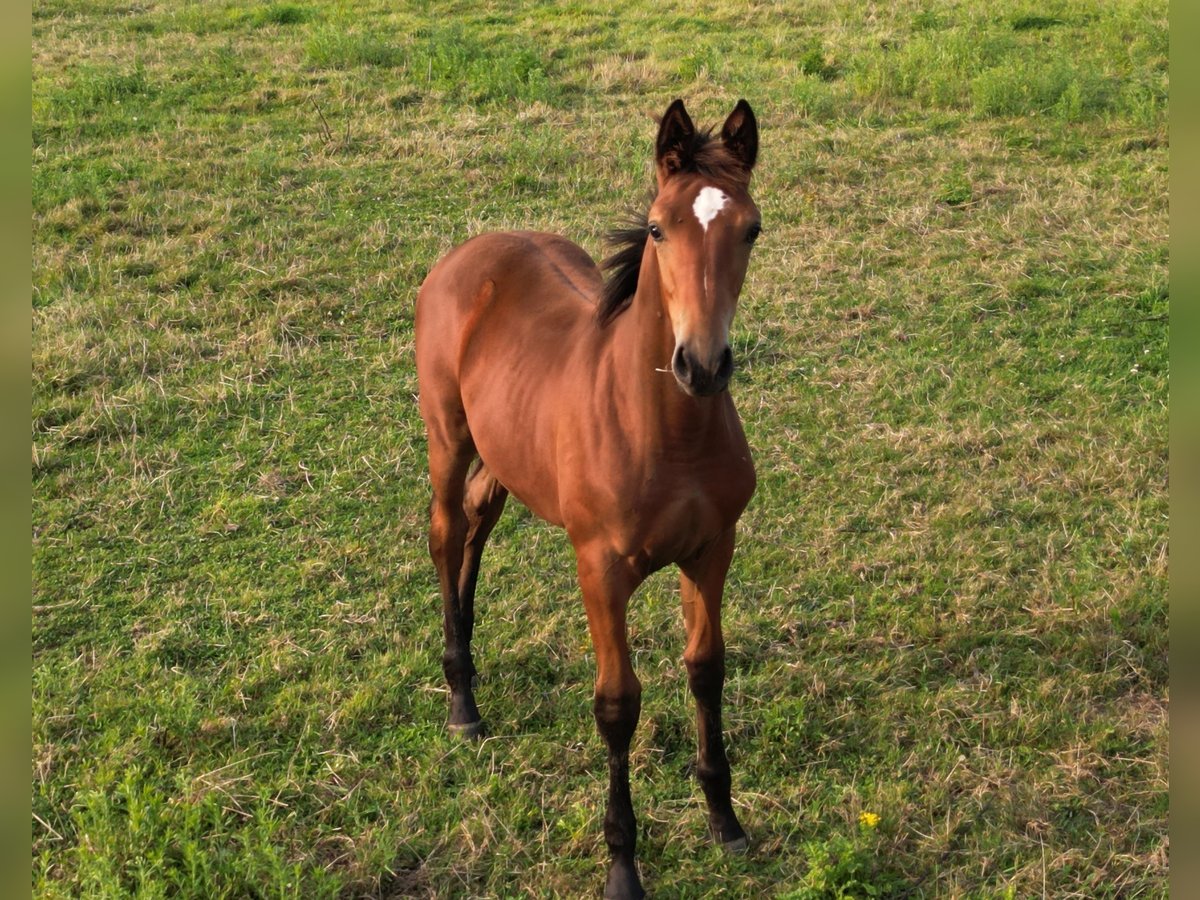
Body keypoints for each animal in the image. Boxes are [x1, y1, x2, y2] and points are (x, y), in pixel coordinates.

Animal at [417, 100, 763, 900]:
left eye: (752, 229)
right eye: (660, 227)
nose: (702, 365)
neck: (667, 432)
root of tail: (470, 251)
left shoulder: (712, 550)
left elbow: (706, 668)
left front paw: (724, 820)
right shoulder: (600, 570)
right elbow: (617, 704)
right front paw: (623, 867)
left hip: (506, 452)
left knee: (478, 520)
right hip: (448, 437)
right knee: (446, 531)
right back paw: (462, 700)